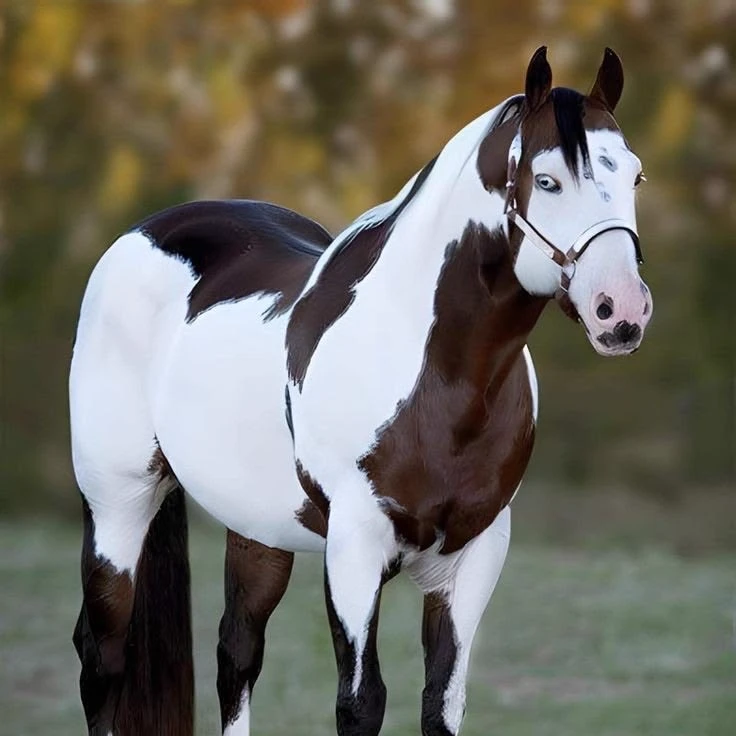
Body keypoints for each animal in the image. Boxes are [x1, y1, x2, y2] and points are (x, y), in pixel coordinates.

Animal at [69, 46, 653, 735]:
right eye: (548, 180)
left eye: (635, 178)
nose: (621, 311)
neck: (440, 379)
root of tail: (141, 234)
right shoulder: (355, 548)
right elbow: (361, 701)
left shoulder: (475, 556)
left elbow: (441, 702)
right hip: (117, 503)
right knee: (103, 655)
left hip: (257, 528)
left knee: (236, 651)